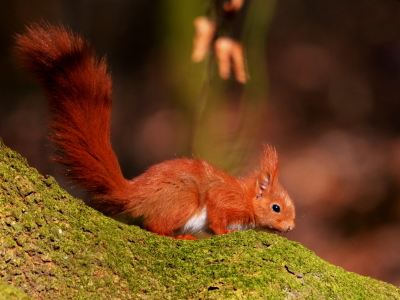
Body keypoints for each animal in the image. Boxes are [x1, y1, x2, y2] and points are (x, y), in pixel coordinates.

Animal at [14, 22, 294, 239]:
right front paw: (225, 232)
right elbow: (217, 217)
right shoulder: (224, 199)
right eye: (276, 207)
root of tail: (136, 193)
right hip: (185, 199)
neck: (246, 196)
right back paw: (179, 237)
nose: (291, 228)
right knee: (154, 226)